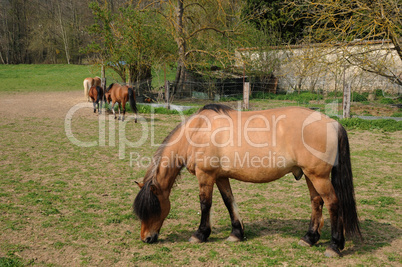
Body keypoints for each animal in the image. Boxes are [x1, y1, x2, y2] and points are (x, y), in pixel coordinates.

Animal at [133, 104, 362, 258]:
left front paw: (200, 234)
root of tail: (333, 123)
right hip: (309, 176)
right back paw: (309, 238)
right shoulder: (221, 176)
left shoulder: (205, 176)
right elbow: (229, 202)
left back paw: (334, 245)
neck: (197, 131)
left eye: (153, 209)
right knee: (317, 203)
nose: (146, 238)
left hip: (318, 177)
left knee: (333, 204)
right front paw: (236, 233)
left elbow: (205, 204)